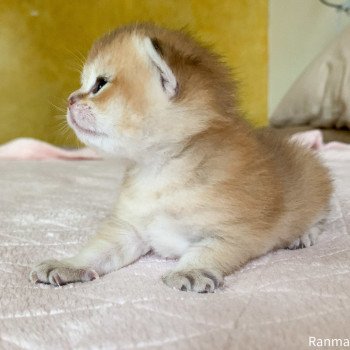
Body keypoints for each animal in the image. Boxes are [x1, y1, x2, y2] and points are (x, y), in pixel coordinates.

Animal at [29, 23, 330, 292]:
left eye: (100, 84)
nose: (70, 99)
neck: (160, 170)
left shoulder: (233, 233)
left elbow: (206, 252)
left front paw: (191, 270)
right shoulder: (129, 229)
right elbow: (97, 251)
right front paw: (69, 265)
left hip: (315, 180)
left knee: (320, 216)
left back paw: (302, 235)